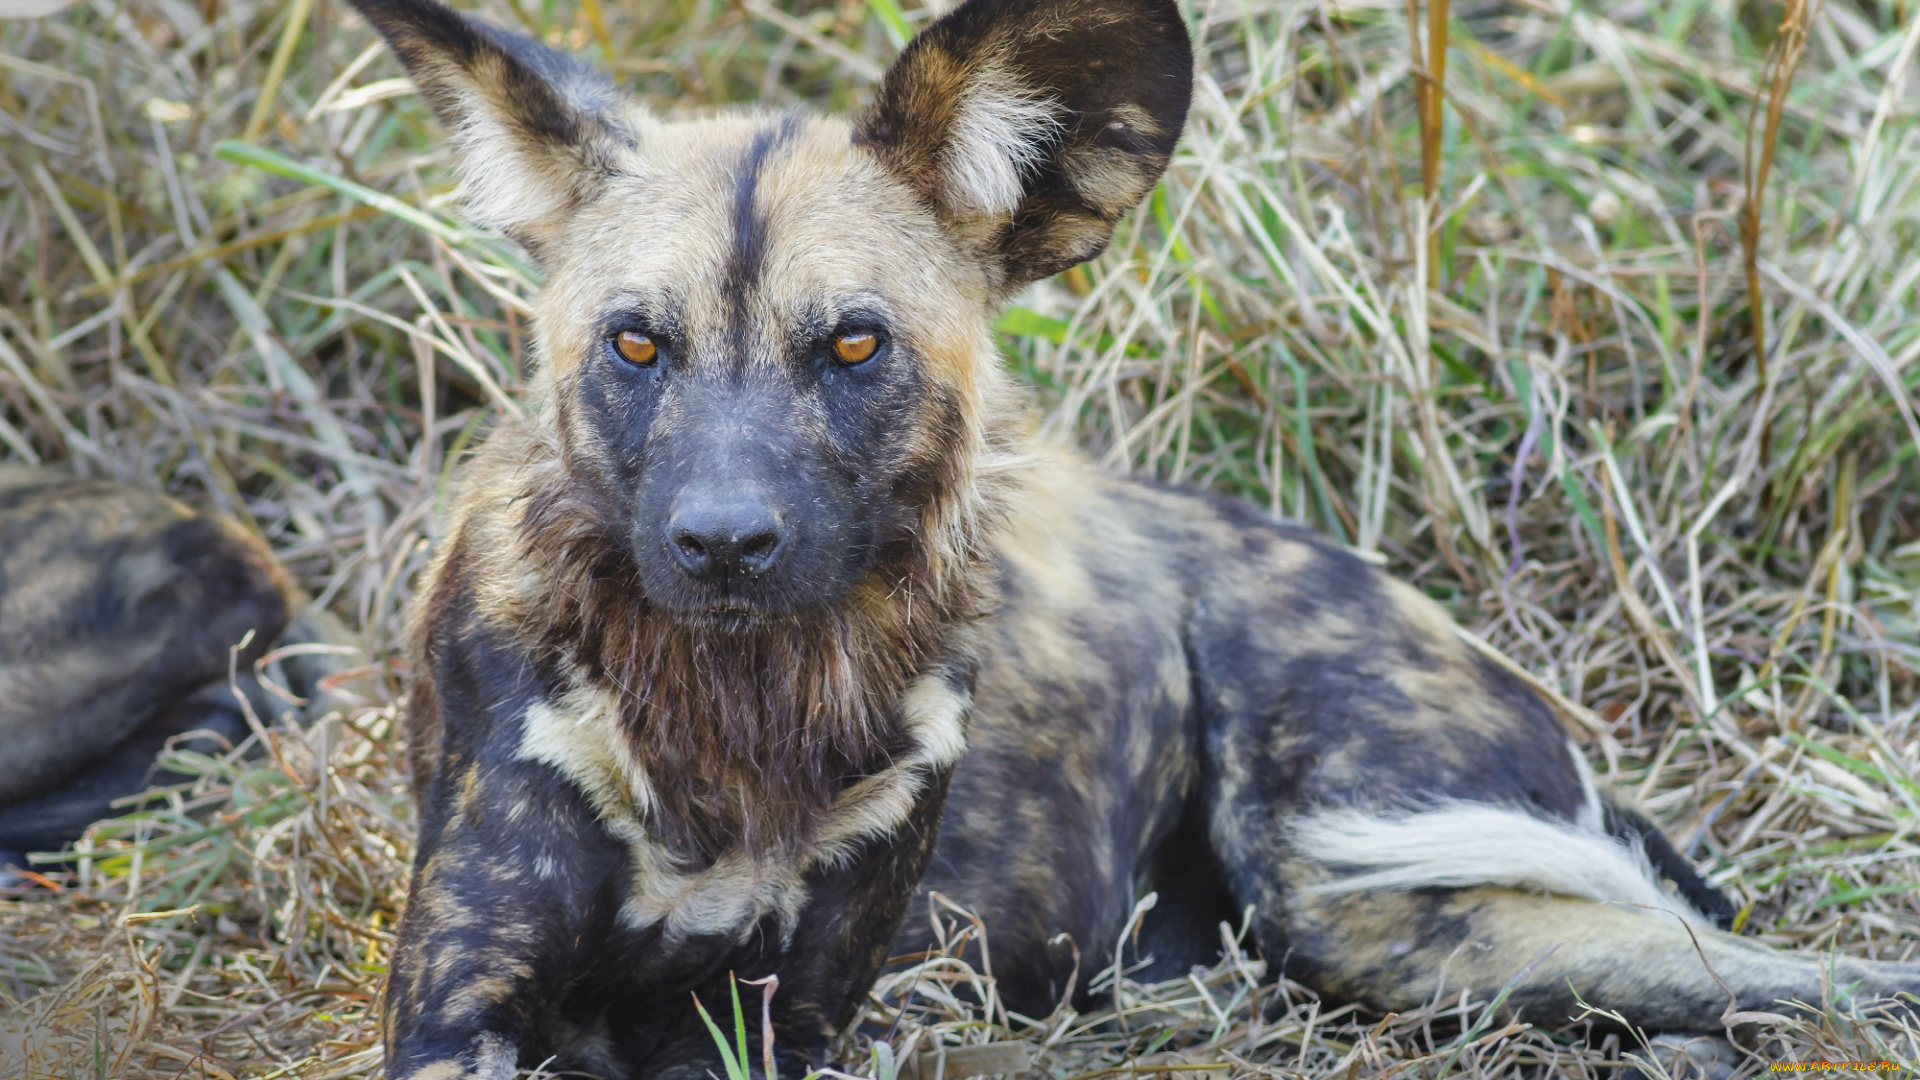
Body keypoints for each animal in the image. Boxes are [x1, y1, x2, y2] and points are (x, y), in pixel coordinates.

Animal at [353, 0, 1920, 1068]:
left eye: (854, 344)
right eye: (636, 343)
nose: (723, 542)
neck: (740, 723)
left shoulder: (789, 1018)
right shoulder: (465, 1003)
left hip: (1356, 897)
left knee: (1775, 968)